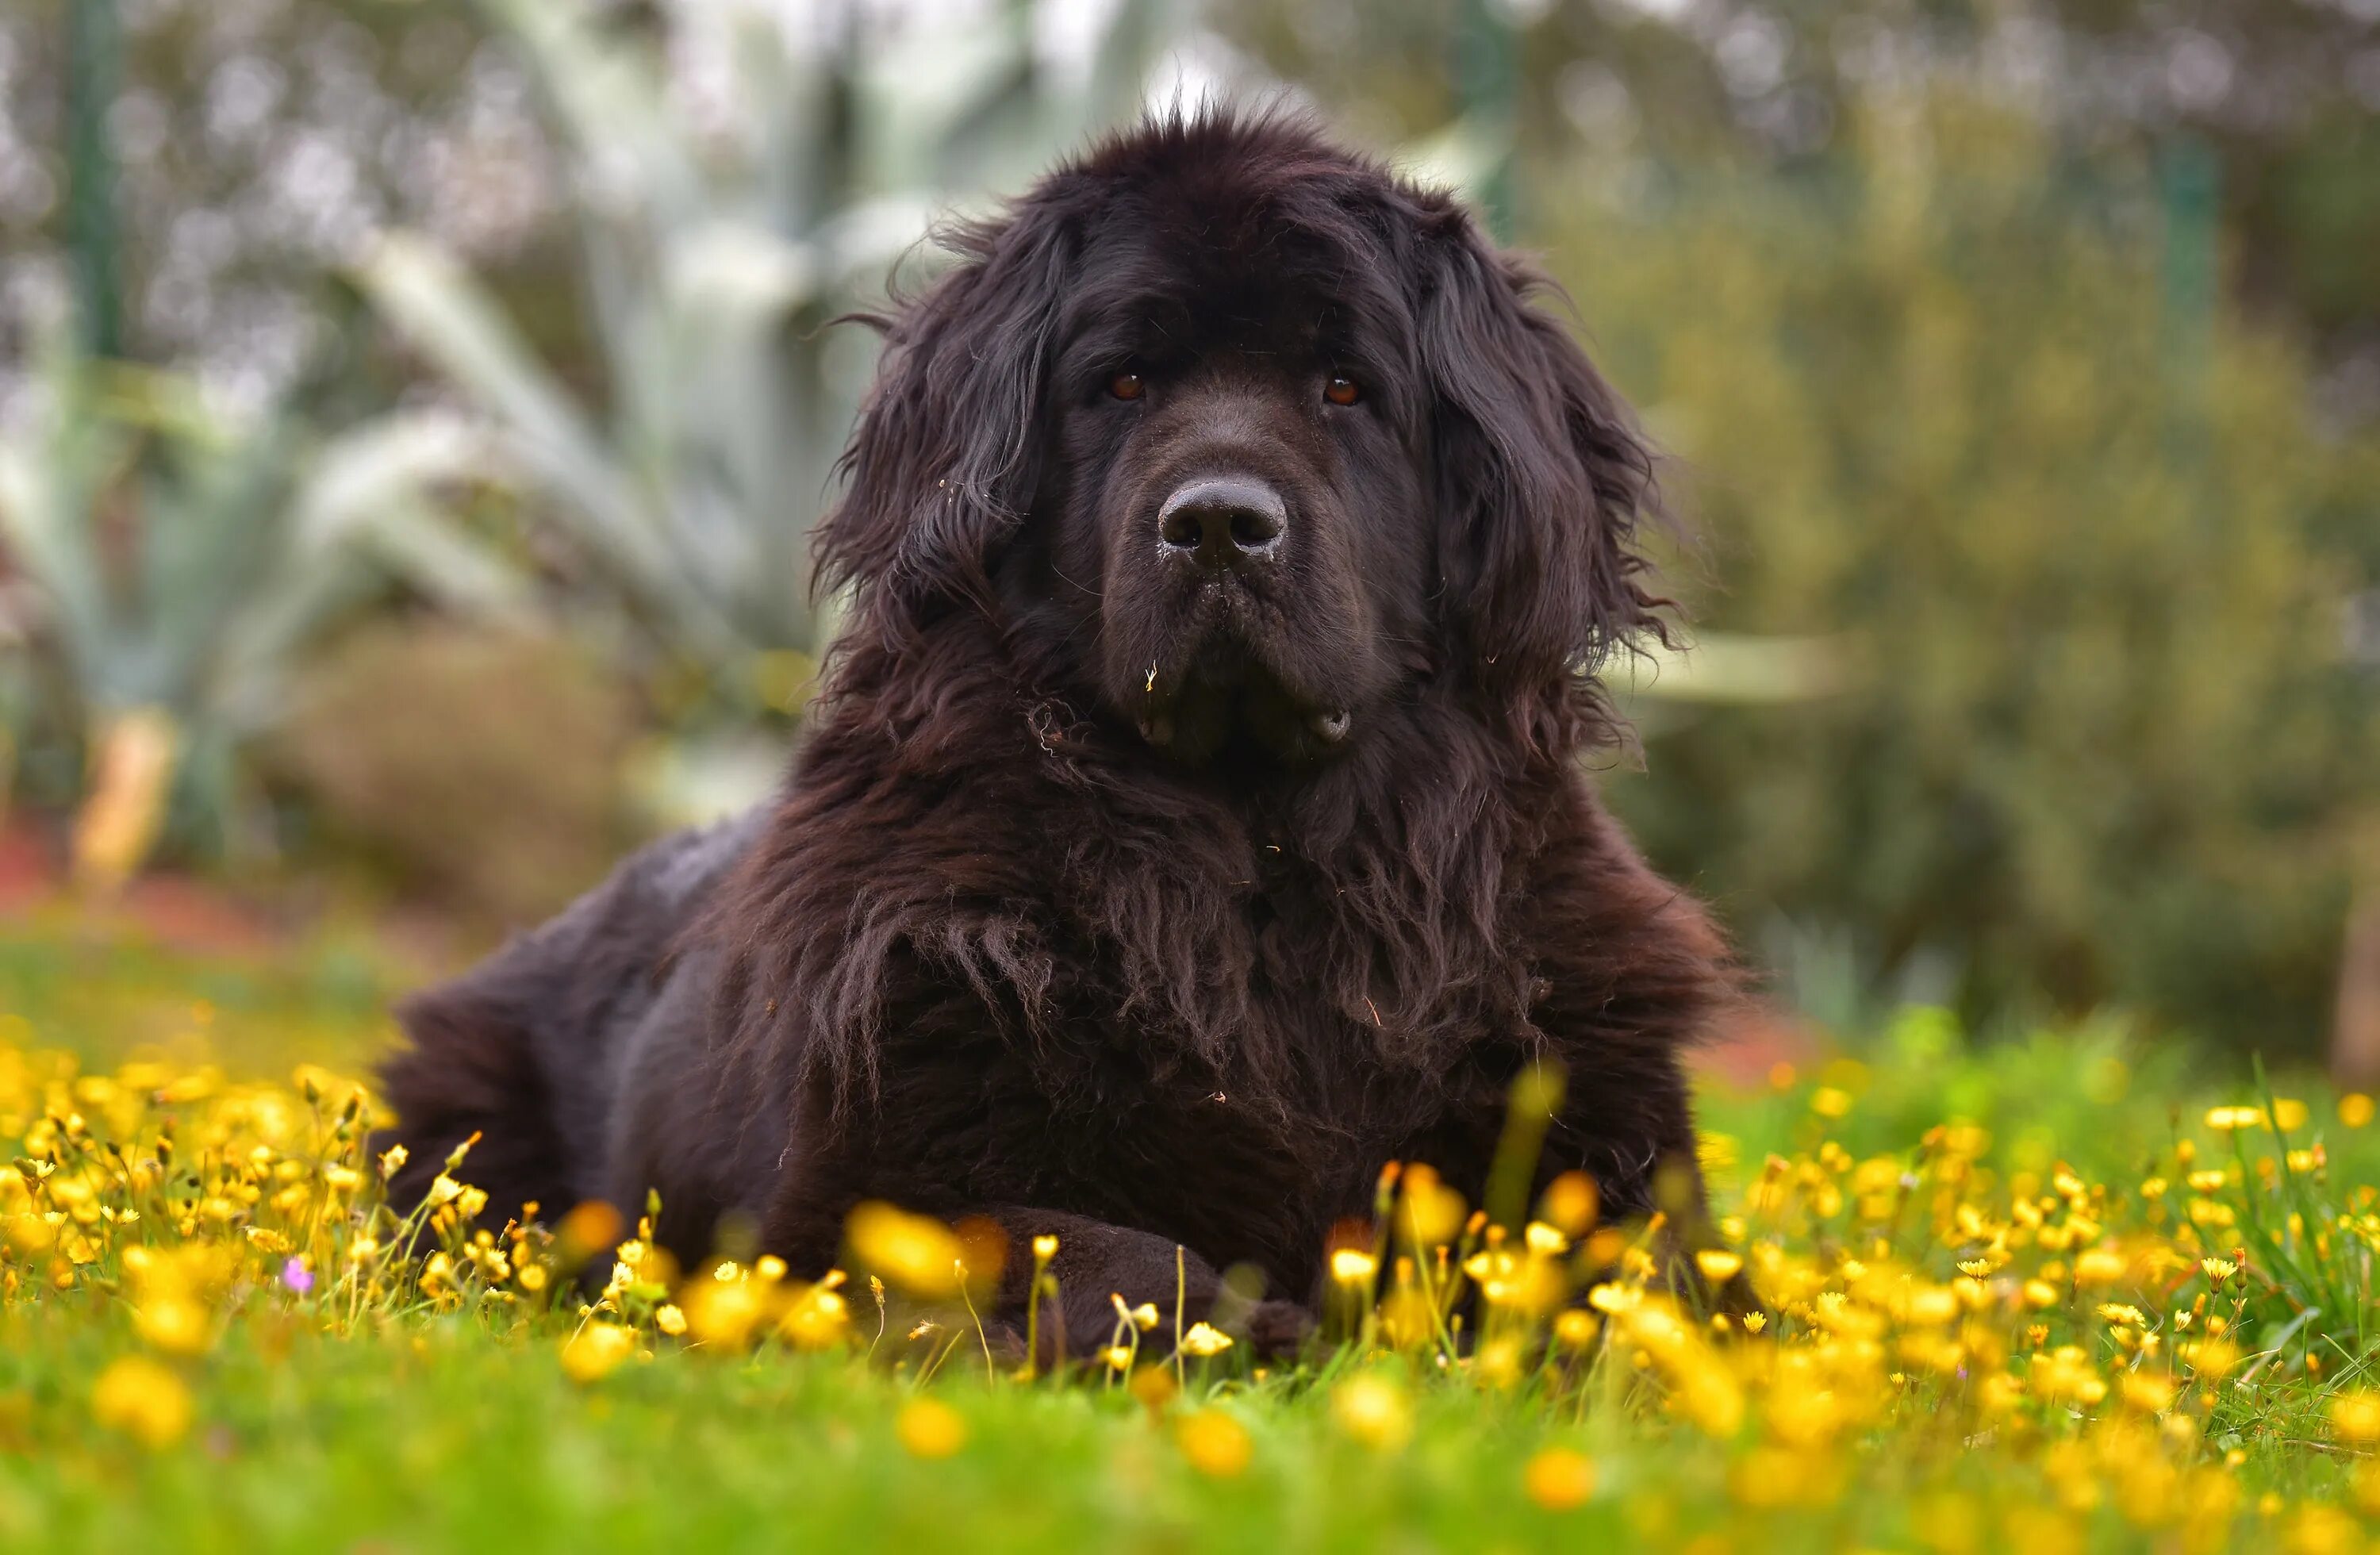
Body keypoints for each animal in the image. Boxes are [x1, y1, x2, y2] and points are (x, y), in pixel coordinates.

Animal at [386, 109, 1733, 1342]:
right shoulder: (853, 1198)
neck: (1262, 867)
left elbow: (1655, 1288)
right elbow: (1115, 1257)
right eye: (1122, 382)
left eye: (1346, 388)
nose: (1218, 524)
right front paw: (1281, 1336)